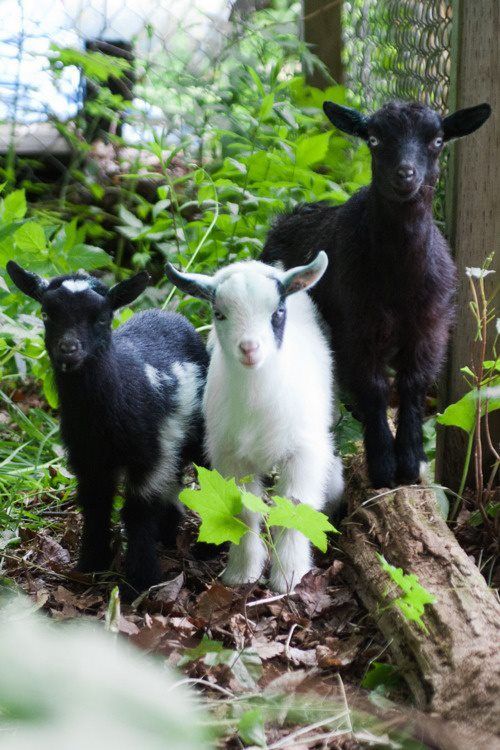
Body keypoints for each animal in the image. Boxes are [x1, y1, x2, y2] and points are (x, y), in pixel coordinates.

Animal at [6, 262, 209, 594]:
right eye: (46, 313)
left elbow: (137, 511)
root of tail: (171, 315)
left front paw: (141, 581)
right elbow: (95, 505)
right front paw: (90, 565)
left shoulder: (148, 455)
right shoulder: (87, 459)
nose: (68, 349)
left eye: (102, 317)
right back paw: (168, 534)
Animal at [165, 253, 344, 593]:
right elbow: (244, 511)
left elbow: (294, 507)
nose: (249, 348)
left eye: (277, 312)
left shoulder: (303, 453)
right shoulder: (230, 457)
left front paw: (289, 577)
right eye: (219, 313)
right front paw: (242, 573)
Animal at [261, 100, 491, 489]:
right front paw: (383, 465)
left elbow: (413, 385)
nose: (405, 174)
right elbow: (374, 387)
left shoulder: (430, 327)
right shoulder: (357, 327)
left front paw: (411, 463)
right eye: (373, 139)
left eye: (438, 140)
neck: (398, 281)